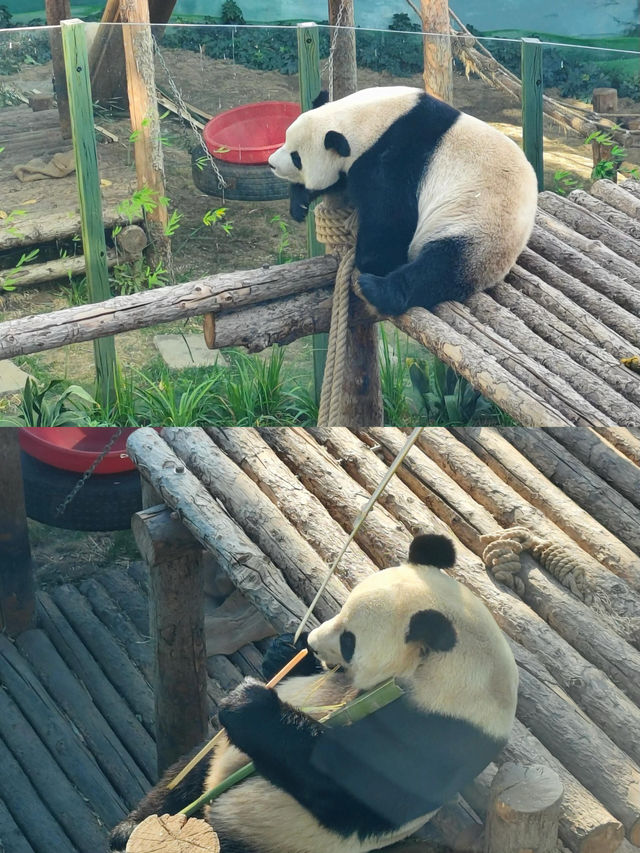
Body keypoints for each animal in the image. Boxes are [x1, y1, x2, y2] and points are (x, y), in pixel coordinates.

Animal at [110, 532, 516, 852]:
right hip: (209, 766)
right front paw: (285, 652)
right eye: (342, 608)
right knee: (182, 776)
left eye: (350, 640)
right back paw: (128, 829)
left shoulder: (441, 737)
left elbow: (348, 784)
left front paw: (249, 705)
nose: (314, 643)